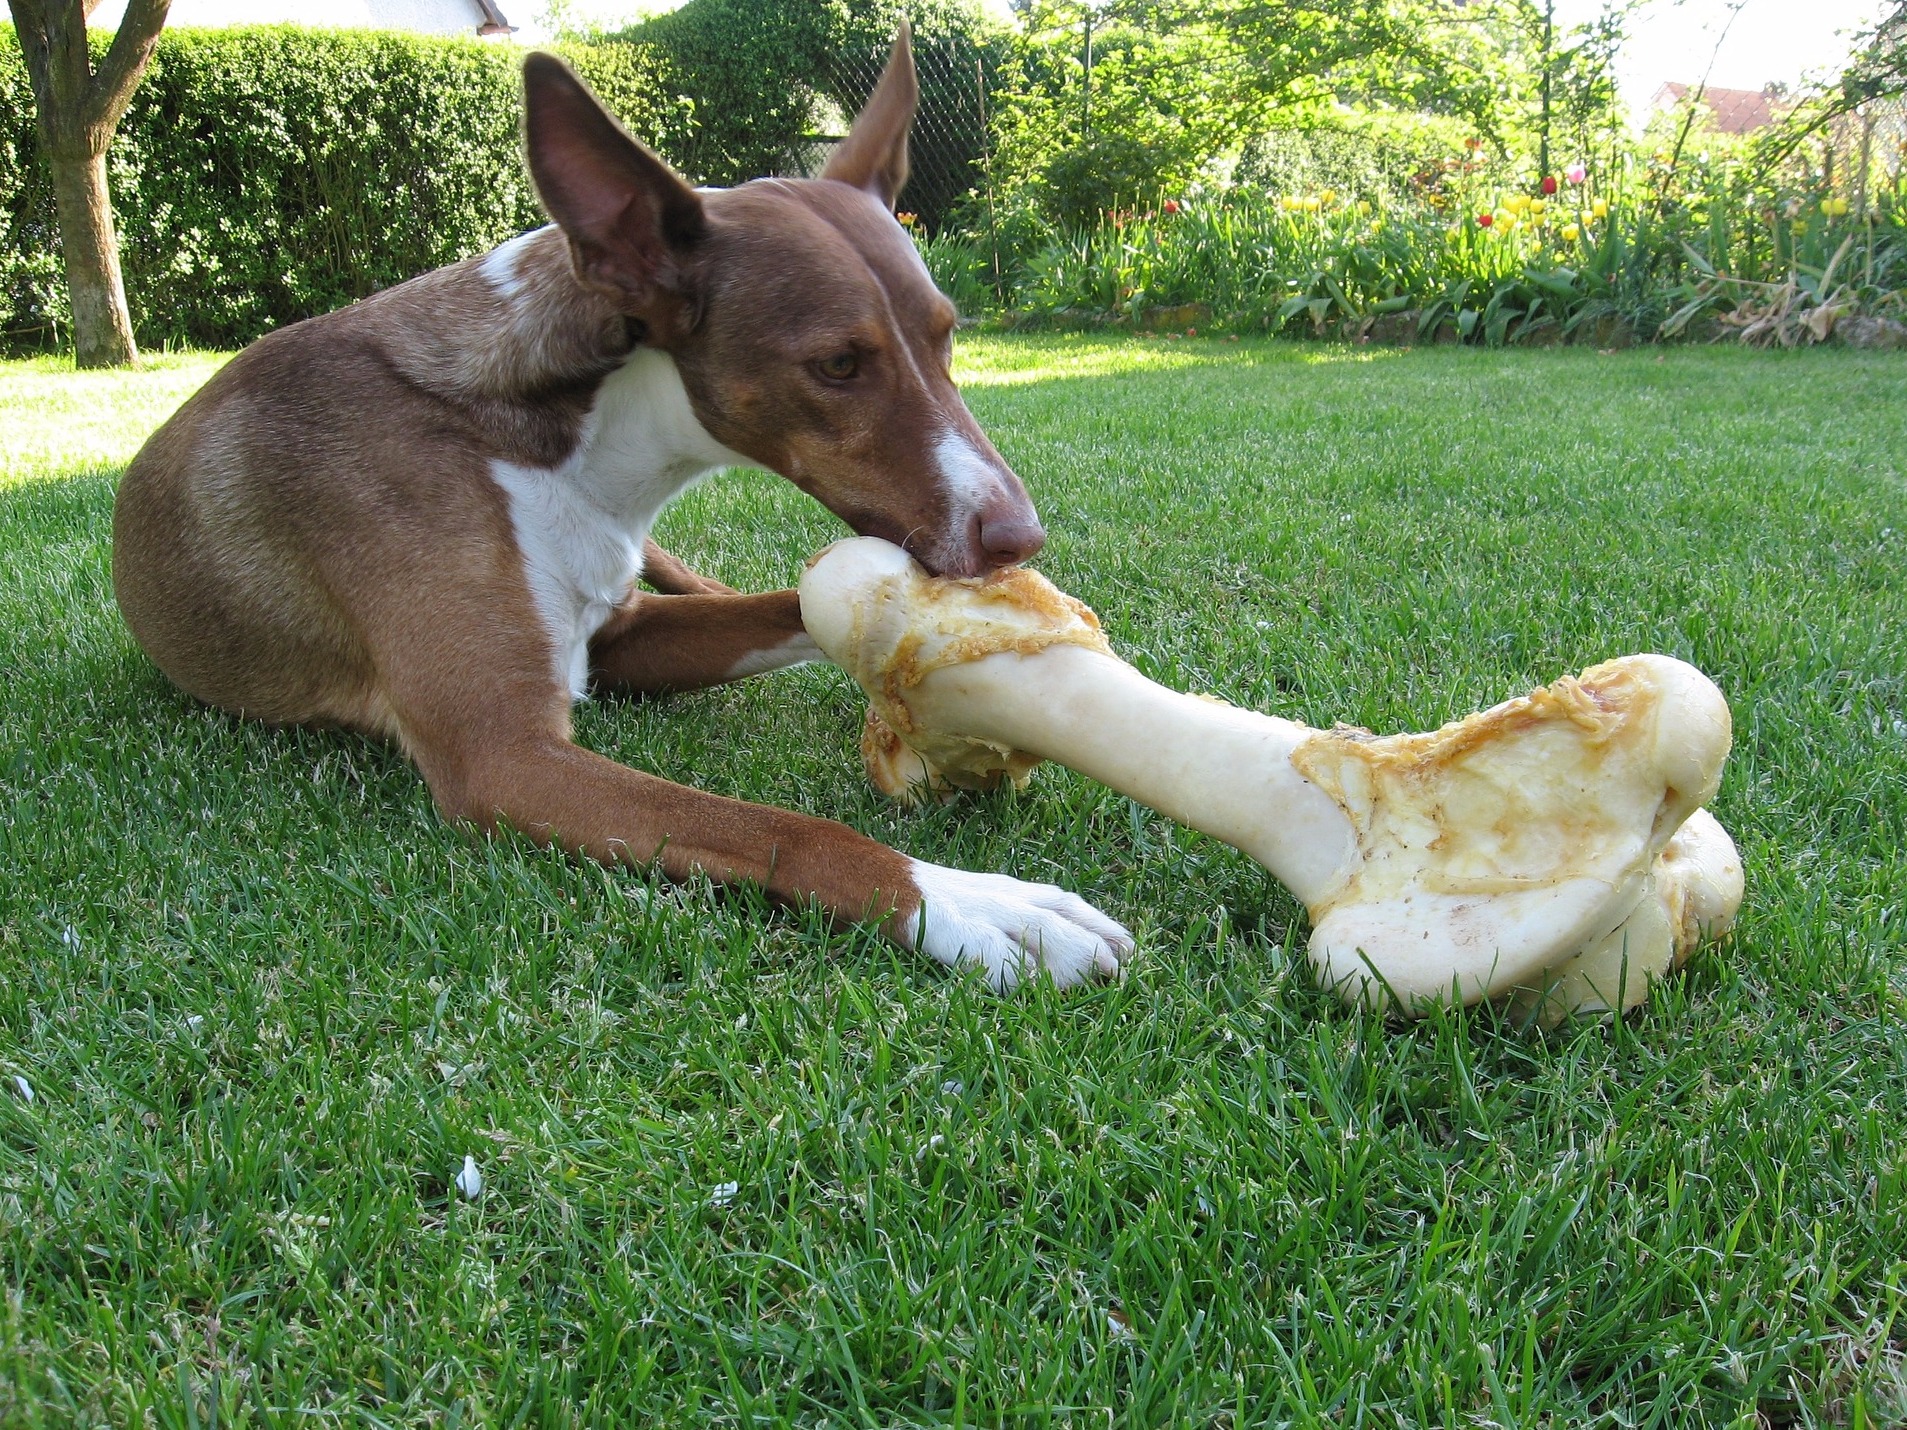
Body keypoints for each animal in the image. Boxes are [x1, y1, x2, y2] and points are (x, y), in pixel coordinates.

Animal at [111, 28, 1128, 991]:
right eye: (837, 364)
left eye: (947, 335)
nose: (1017, 537)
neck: (570, 448)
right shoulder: (502, 753)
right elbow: (783, 828)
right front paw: (976, 907)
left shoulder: (622, 636)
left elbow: (787, 606)